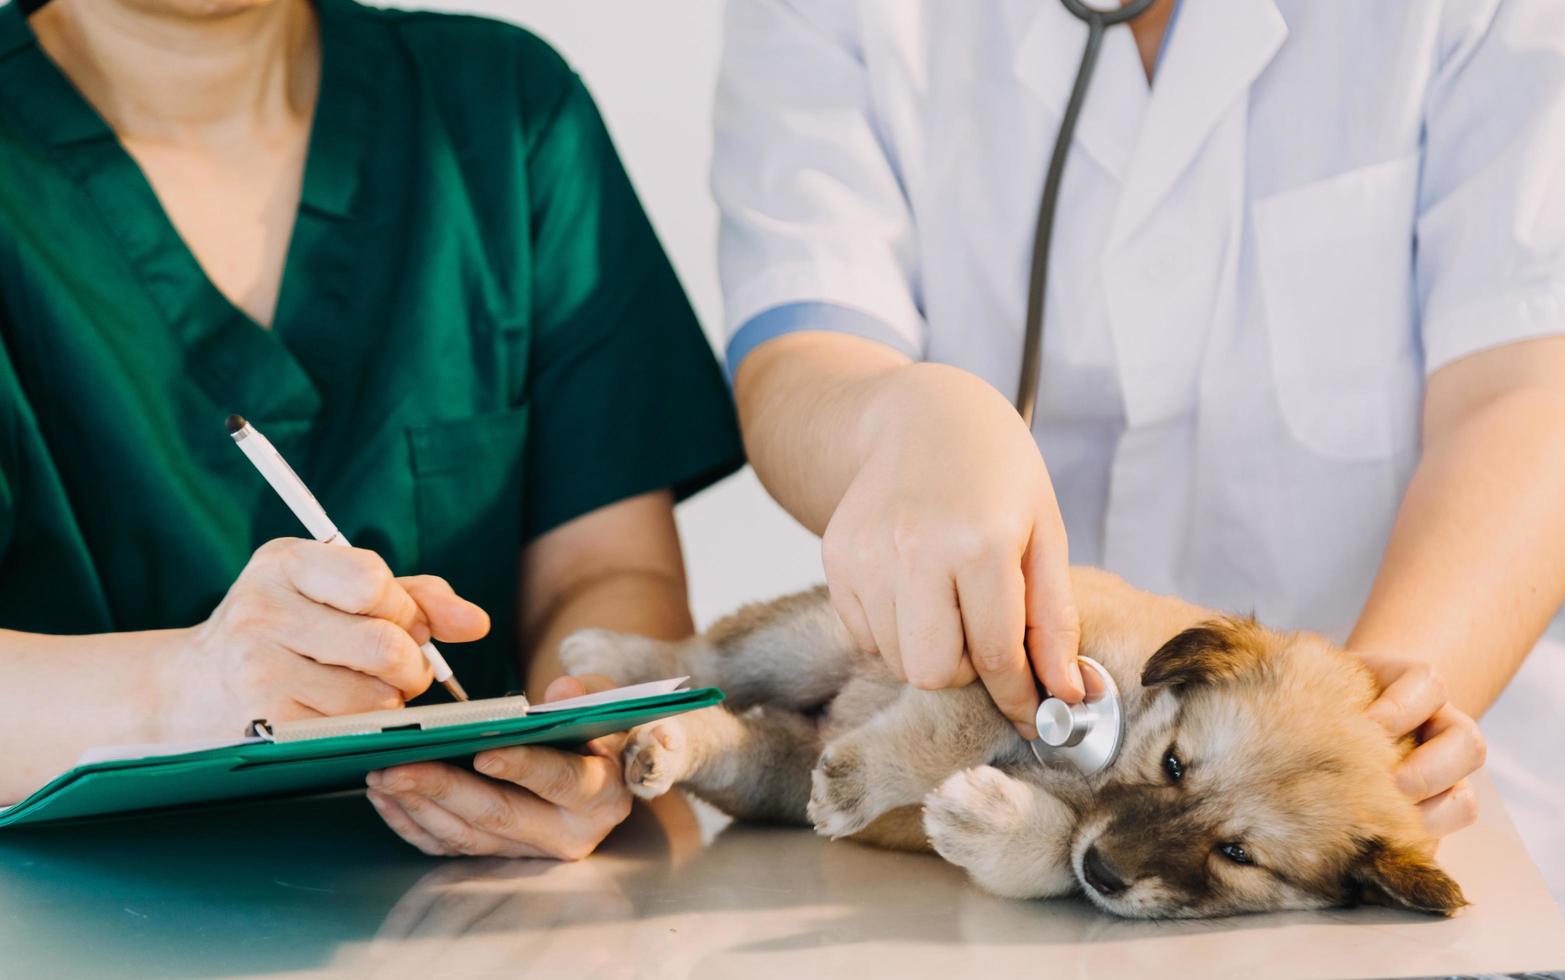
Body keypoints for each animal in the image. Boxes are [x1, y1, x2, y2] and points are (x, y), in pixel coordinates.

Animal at [563, 563, 1464, 914]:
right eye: (1173, 765)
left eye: (1236, 854)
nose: (1107, 872)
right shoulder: (1002, 656)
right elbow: (949, 727)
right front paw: (869, 777)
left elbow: (1050, 853)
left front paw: (984, 817)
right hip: (812, 638)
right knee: (707, 654)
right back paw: (612, 663)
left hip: (773, 773)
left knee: (728, 734)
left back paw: (659, 747)